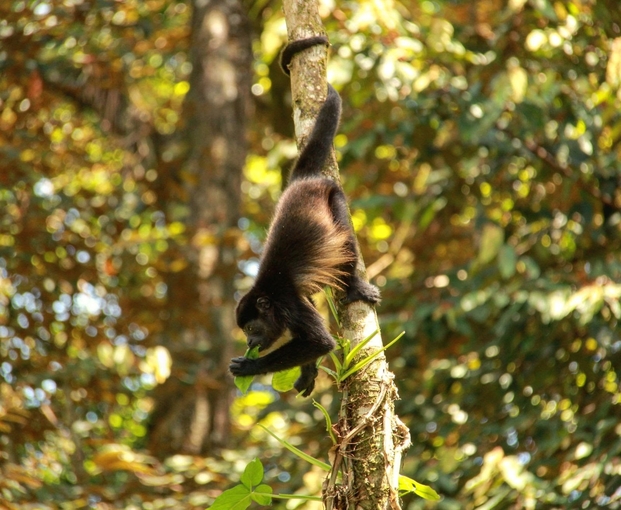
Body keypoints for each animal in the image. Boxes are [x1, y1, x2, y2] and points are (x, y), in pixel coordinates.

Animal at [230, 37, 380, 396]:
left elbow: (319, 341)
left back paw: (356, 286)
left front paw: (250, 366)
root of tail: (304, 180)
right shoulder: (295, 301)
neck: (267, 295)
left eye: (251, 328)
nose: (250, 343)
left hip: (333, 196)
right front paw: (308, 371)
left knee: (344, 237)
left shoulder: (287, 302)